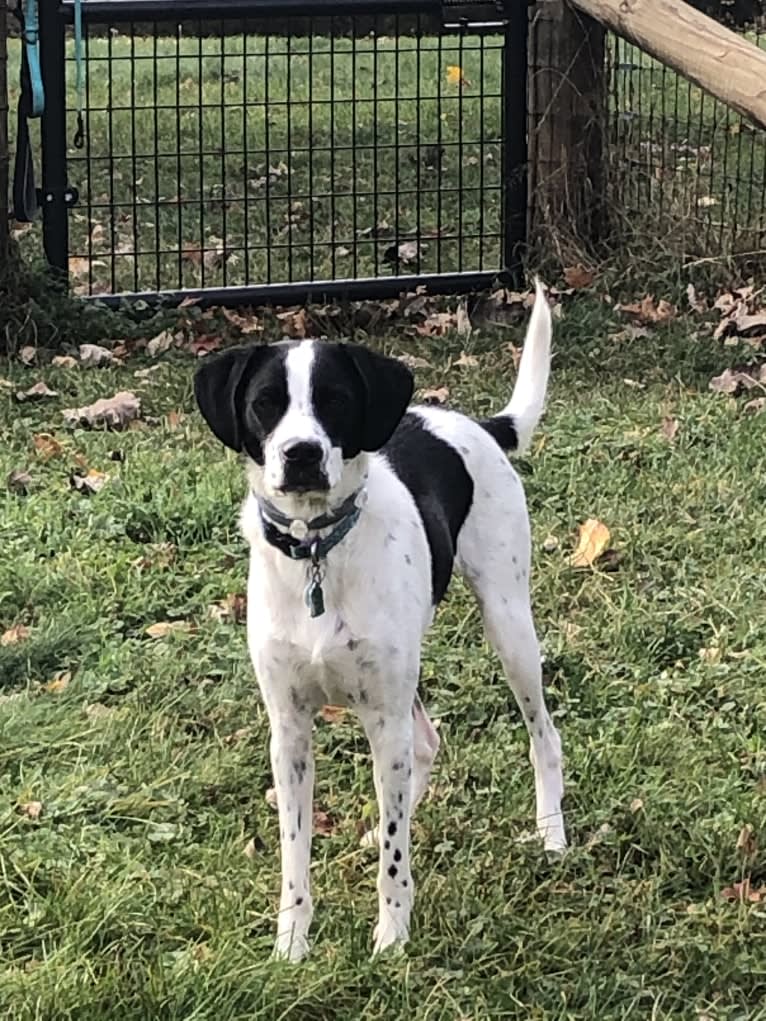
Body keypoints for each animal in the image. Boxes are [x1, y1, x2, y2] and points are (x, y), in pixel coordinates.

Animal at [195, 283, 567, 959]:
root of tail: (476, 424)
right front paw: (292, 942)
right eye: (265, 404)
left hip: (508, 624)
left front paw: (392, 939)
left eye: (335, 400)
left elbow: (396, 859)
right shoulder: (289, 732)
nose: (302, 454)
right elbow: (294, 855)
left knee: (541, 736)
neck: (317, 551)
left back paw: (552, 832)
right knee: (426, 743)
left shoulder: (382, 718)